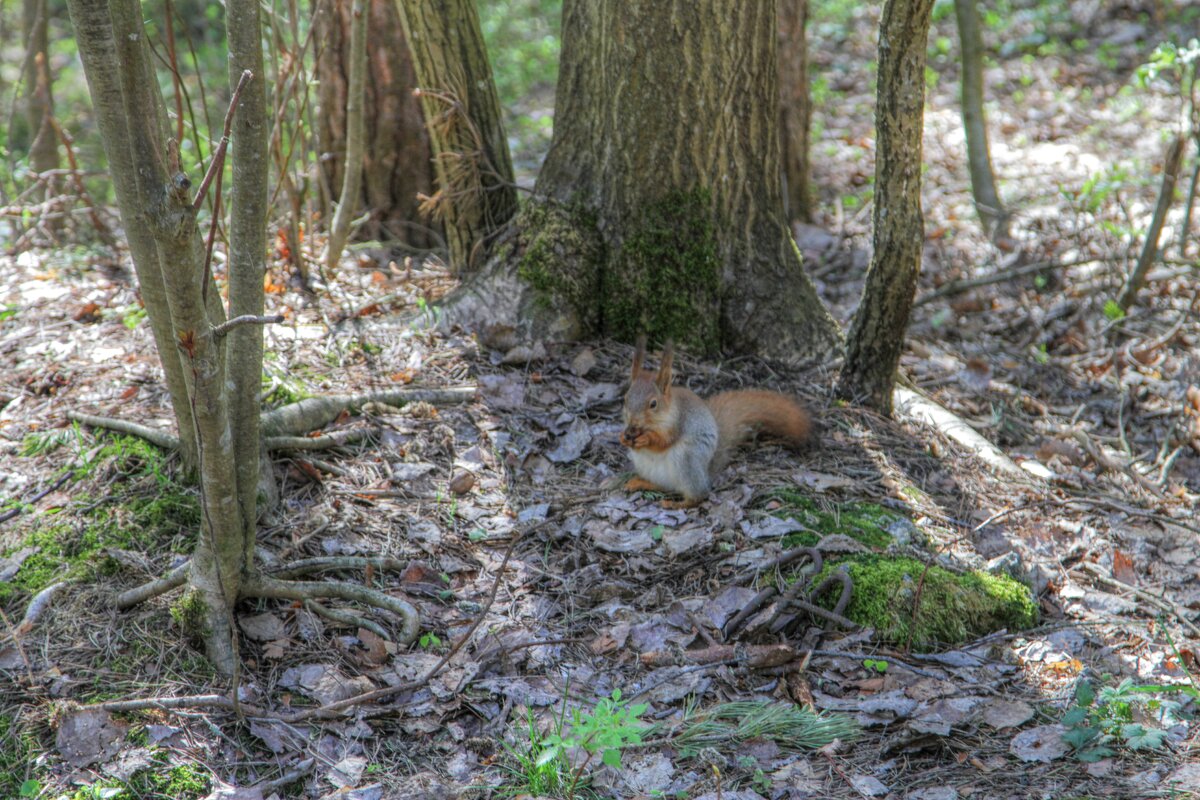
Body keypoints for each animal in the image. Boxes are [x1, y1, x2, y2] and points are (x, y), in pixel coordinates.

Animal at [619, 335, 816, 510]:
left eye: (653, 404)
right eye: (625, 398)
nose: (633, 424)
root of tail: (706, 474)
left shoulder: (678, 422)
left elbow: (664, 440)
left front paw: (647, 439)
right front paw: (622, 436)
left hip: (687, 460)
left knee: (699, 495)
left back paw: (677, 504)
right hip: (645, 465)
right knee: (665, 486)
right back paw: (640, 483)